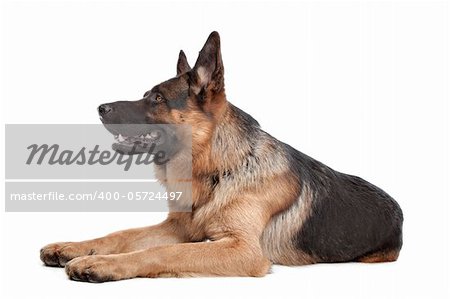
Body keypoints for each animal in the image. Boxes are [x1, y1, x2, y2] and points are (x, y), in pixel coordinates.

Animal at [40, 31, 402, 282]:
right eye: (145, 94)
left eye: (157, 98)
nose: (100, 108)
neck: (217, 169)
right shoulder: (179, 227)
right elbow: (122, 235)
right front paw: (72, 247)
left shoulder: (241, 249)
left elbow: (164, 251)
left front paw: (100, 264)